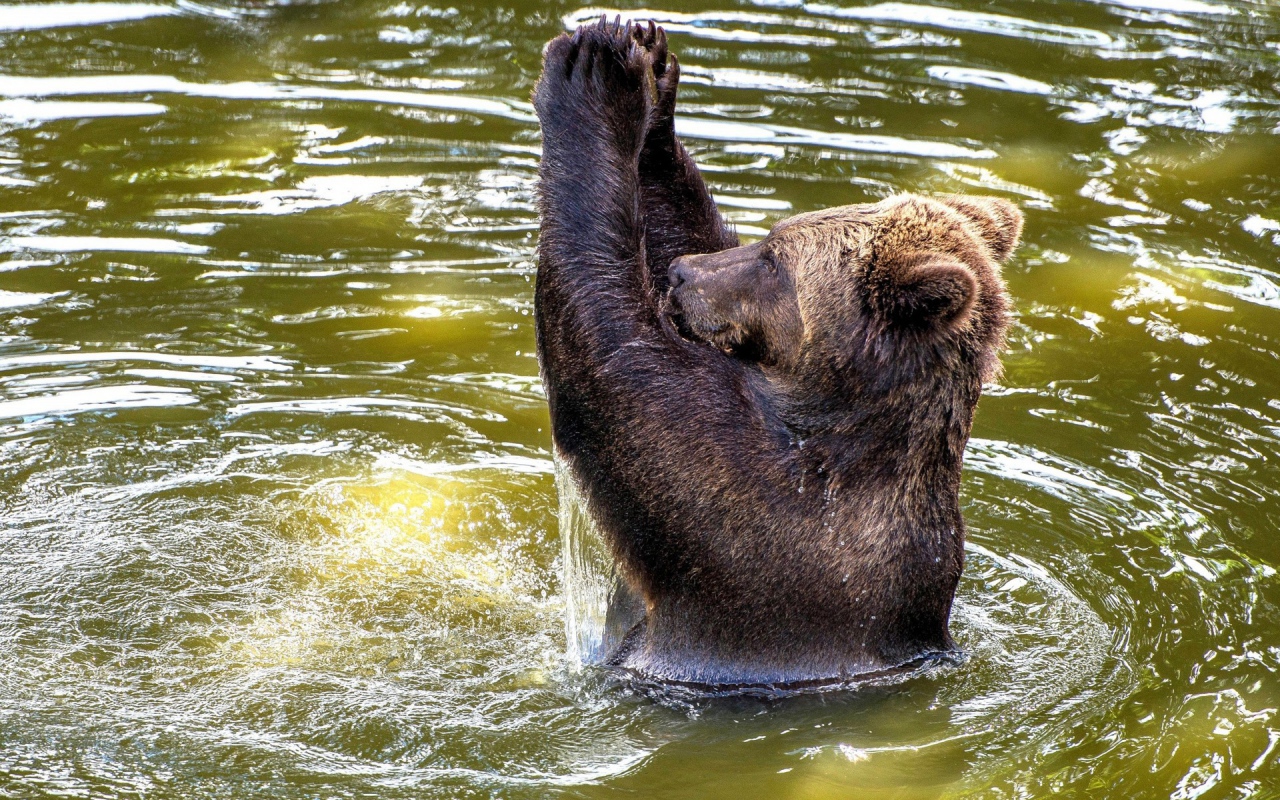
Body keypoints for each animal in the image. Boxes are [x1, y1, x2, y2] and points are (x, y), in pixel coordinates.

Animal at [532, 18, 1022, 690]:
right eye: (767, 237)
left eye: (774, 260)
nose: (683, 275)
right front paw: (652, 74)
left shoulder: (749, 515)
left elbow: (612, 356)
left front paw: (596, 77)